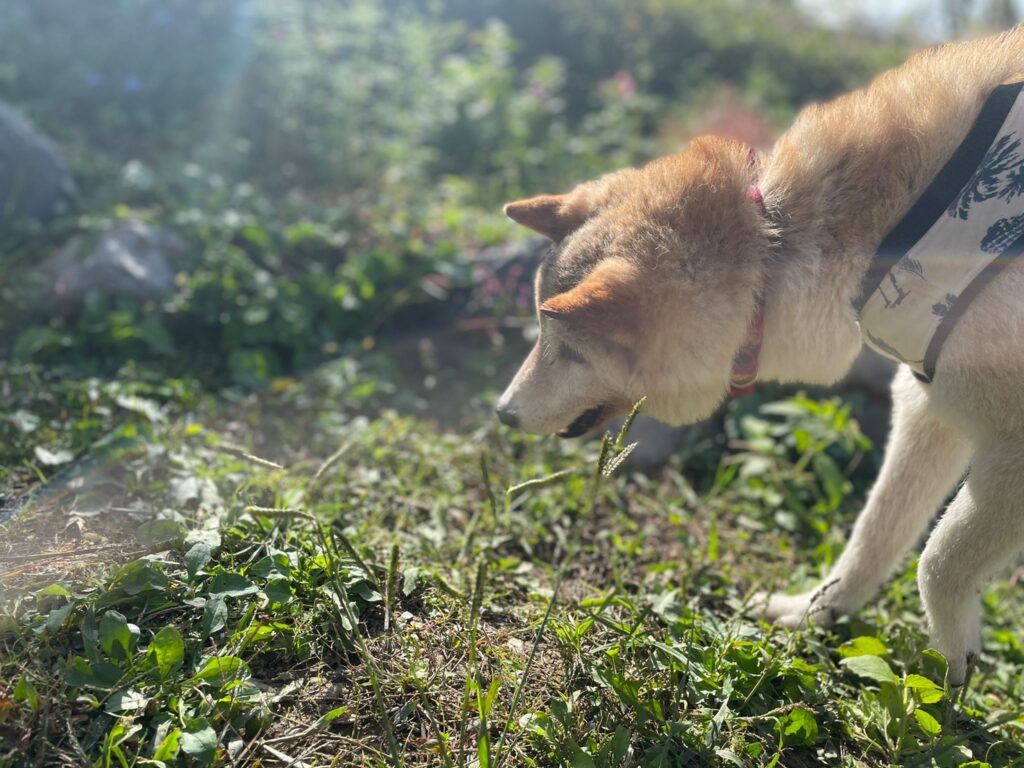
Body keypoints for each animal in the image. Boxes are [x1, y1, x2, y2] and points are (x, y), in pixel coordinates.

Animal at [496, 27, 1024, 685]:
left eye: (567, 350)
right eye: (542, 338)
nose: (502, 412)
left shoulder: (1009, 452)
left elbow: (938, 560)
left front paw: (953, 655)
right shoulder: (930, 405)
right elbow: (874, 535)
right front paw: (815, 612)